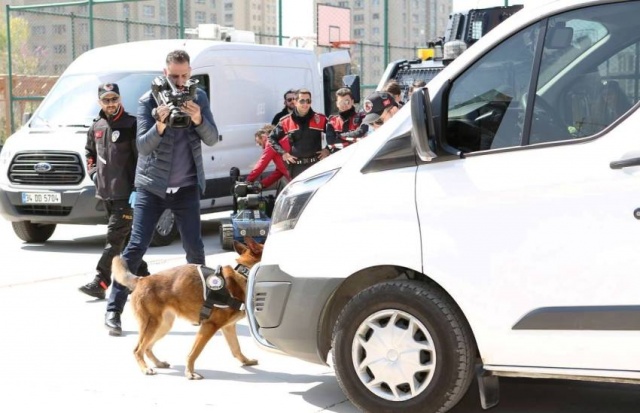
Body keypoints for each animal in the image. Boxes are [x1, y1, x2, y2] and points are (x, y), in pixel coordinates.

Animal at [112, 237, 262, 378]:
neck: (244, 274)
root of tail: (141, 280)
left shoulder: (228, 327)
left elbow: (236, 348)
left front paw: (246, 361)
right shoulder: (209, 326)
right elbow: (194, 352)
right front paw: (190, 372)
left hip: (163, 326)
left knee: (147, 348)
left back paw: (158, 363)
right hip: (152, 325)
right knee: (138, 350)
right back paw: (145, 368)